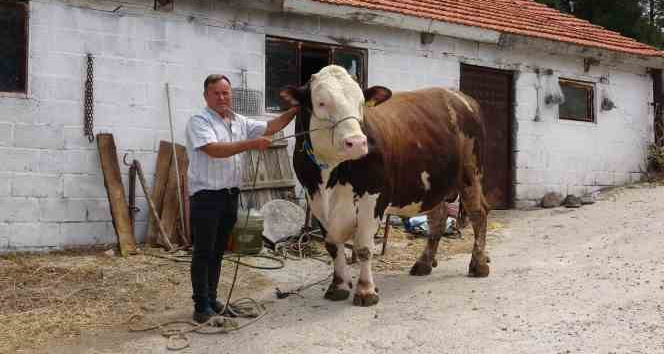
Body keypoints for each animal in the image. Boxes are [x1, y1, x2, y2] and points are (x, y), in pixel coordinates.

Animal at [278, 65, 490, 306]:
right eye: (321, 103)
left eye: (361, 103)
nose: (357, 143)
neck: (331, 173)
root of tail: (459, 96)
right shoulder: (316, 200)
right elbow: (332, 246)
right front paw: (338, 286)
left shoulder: (373, 199)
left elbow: (363, 247)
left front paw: (365, 290)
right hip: (434, 184)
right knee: (438, 219)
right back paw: (424, 263)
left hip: (471, 173)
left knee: (479, 213)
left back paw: (478, 264)